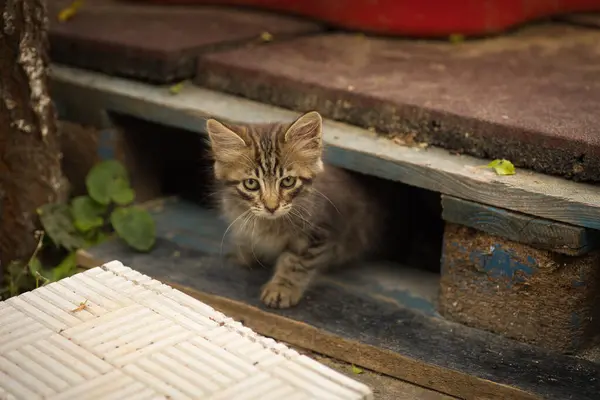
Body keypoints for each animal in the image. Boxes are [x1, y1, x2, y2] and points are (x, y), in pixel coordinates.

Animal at [205, 112, 384, 310]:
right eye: (251, 184)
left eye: (288, 181)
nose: (271, 207)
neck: (269, 223)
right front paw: (243, 255)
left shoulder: (319, 233)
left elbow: (297, 263)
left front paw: (282, 288)